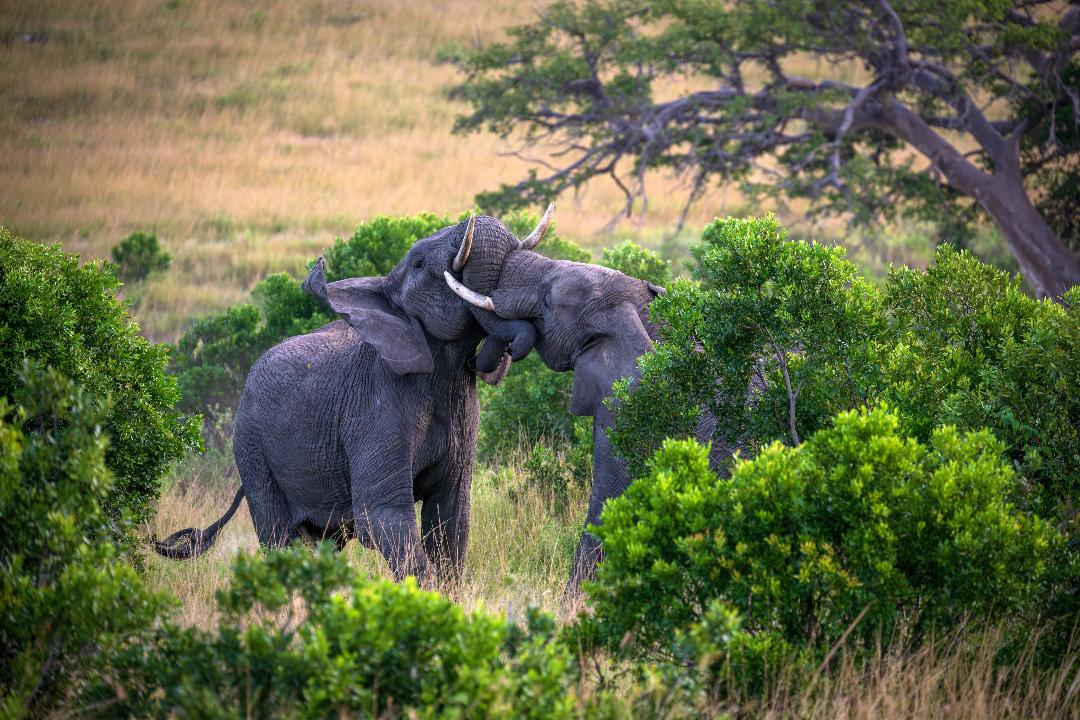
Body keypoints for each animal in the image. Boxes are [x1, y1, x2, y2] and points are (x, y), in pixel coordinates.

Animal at [153, 213, 549, 583]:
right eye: (420, 263)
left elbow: (450, 520)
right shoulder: (375, 407)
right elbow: (383, 516)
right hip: (251, 444)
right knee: (278, 535)